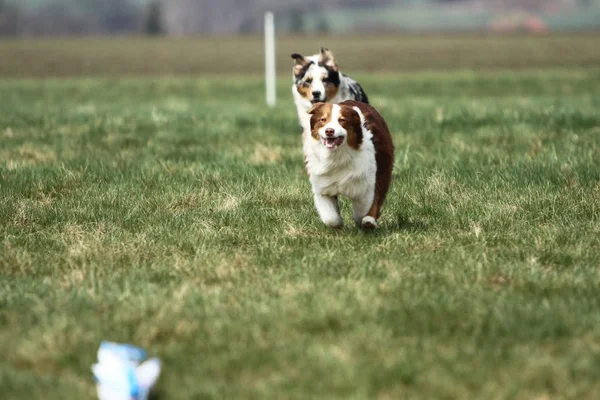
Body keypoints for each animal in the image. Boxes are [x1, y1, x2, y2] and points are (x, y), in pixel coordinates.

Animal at [304, 101, 394, 231]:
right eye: (323, 119)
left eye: (342, 120)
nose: (329, 131)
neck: (336, 156)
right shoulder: (322, 186)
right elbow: (331, 218)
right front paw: (339, 225)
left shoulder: (365, 184)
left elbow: (361, 211)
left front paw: (366, 222)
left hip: (383, 165)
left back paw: (369, 221)